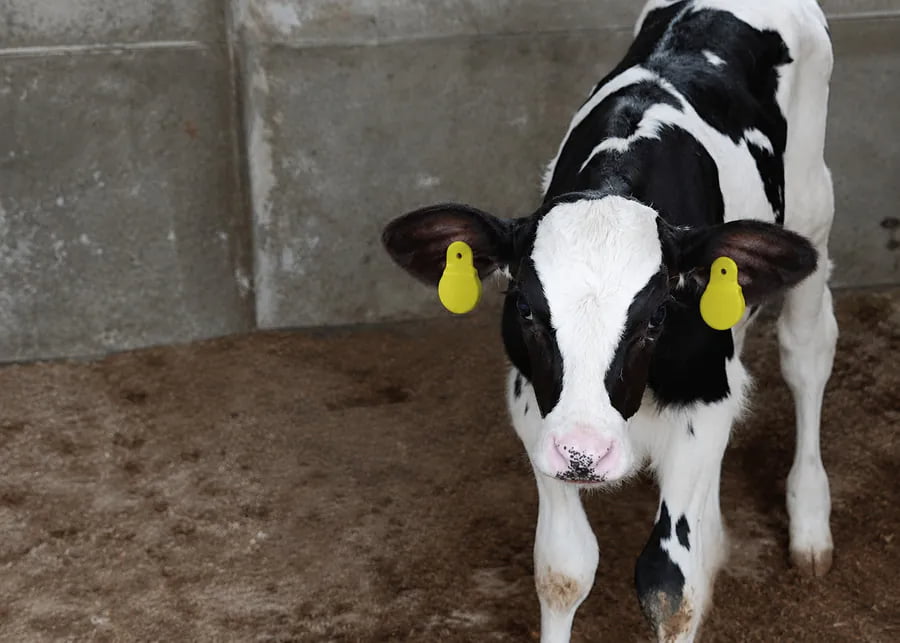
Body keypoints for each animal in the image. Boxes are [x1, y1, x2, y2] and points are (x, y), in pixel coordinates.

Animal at [381, 0, 837, 640]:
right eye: (525, 307)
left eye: (657, 316)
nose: (584, 454)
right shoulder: (536, 408)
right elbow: (563, 569)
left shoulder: (702, 399)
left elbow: (670, 586)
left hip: (814, 209)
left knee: (807, 353)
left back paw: (810, 522)